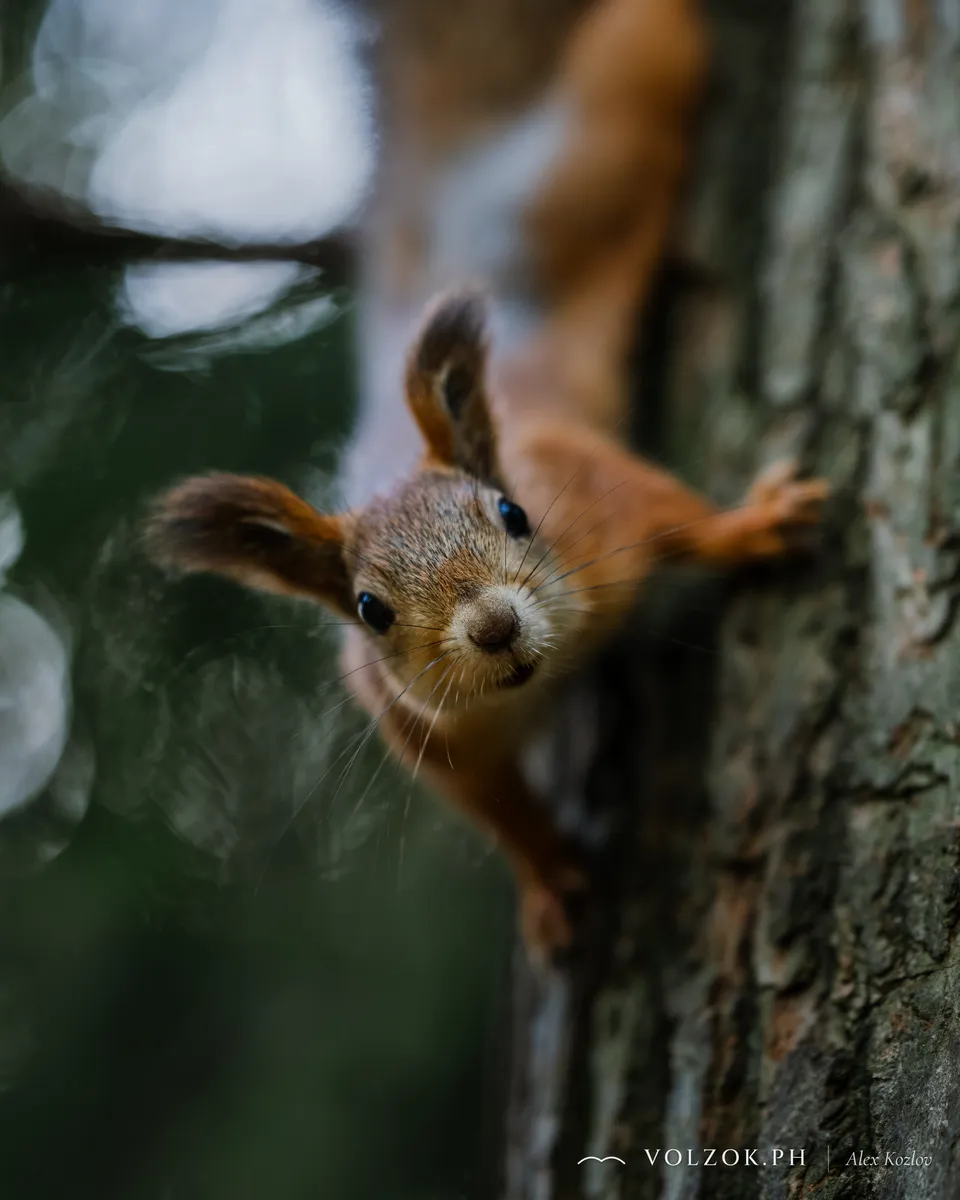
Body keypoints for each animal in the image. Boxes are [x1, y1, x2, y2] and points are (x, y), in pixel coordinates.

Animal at [145, 0, 829, 963]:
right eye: (369, 609)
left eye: (514, 512)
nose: (494, 627)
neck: (546, 677)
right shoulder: (426, 733)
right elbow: (499, 810)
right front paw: (549, 880)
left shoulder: (596, 496)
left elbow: (675, 511)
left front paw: (756, 525)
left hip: (603, 136)